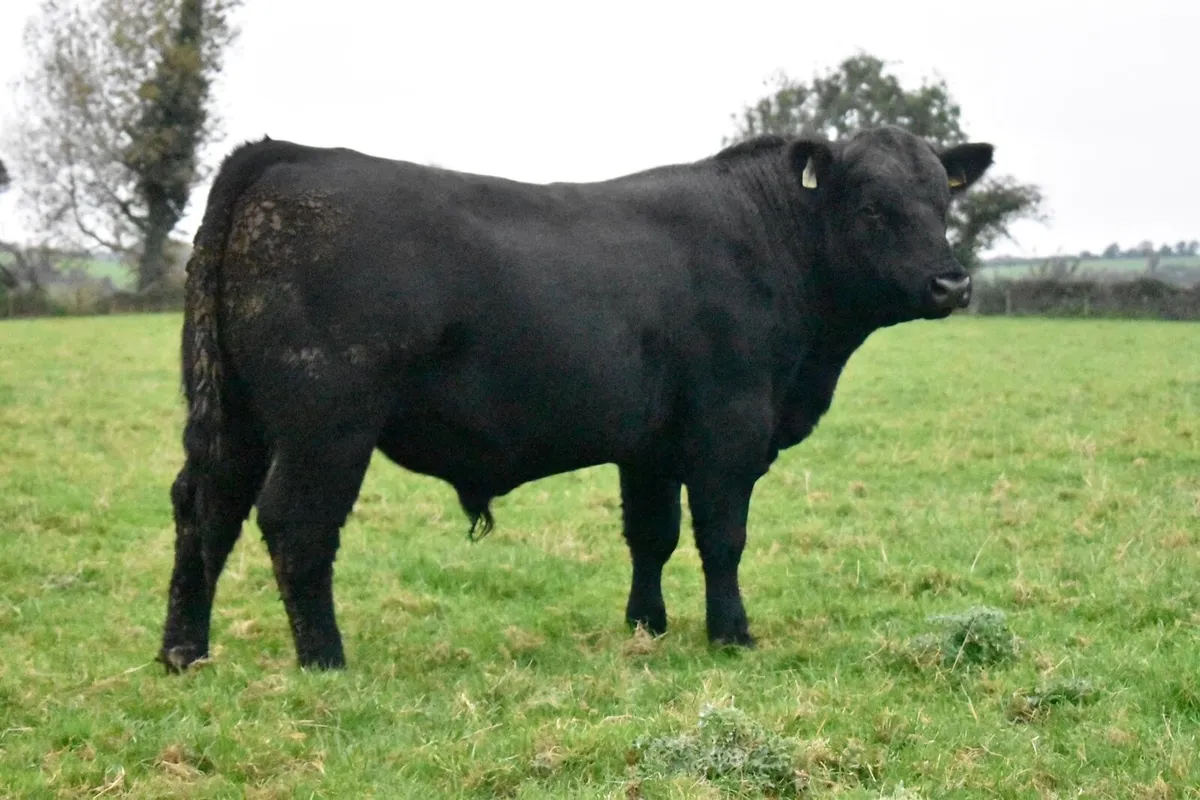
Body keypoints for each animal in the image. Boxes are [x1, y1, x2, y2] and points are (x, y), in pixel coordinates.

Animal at [158, 125, 993, 672]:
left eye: (941, 203)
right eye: (871, 207)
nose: (952, 283)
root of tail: (286, 152)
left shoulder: (650, 445)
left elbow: (651, 537)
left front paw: (646, 626)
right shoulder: (728, 429)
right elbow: (722, 539)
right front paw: (732, 634)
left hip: (236, 417)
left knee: (206, 509)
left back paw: (183, 651)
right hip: (326, 423)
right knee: (295, 524)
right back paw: (325, 659)